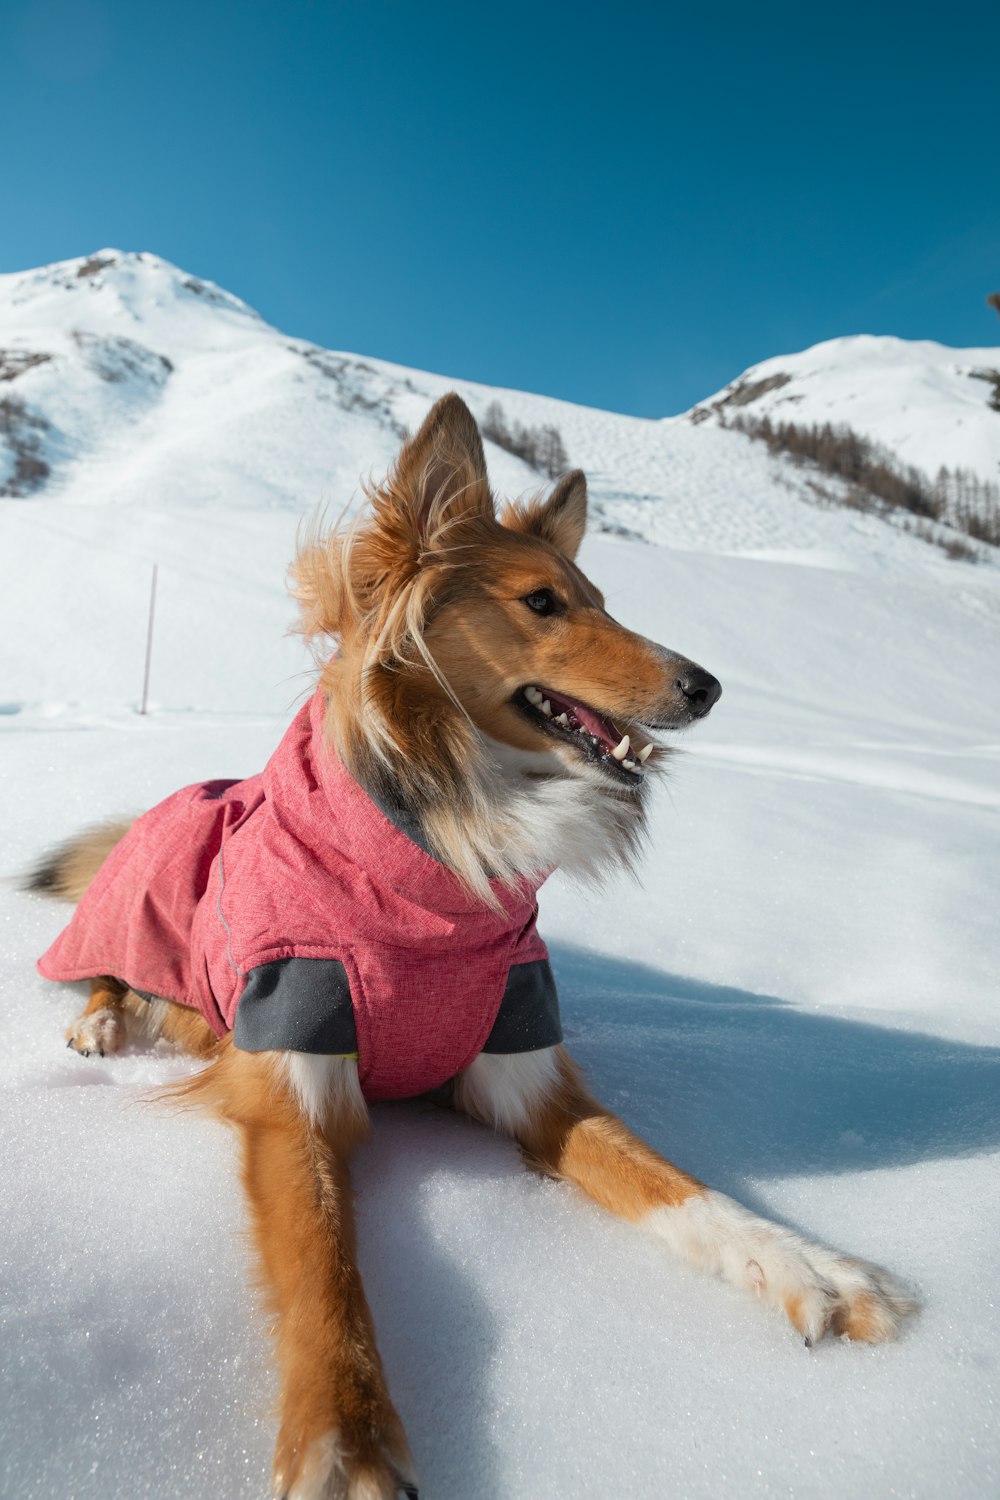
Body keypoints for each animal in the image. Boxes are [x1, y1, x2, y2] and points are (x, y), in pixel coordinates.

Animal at [31, 396, 917, 1500]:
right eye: (543, 603)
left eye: (603, 601)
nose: (708, 687)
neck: (444, 870)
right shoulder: (292, 1086)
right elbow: (325, 1273)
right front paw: (345, 1441)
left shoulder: (523, 1070)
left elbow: (679, 1182)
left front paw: (803, 1263)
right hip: (139, 906)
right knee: (105, 969)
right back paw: (102, 1024)